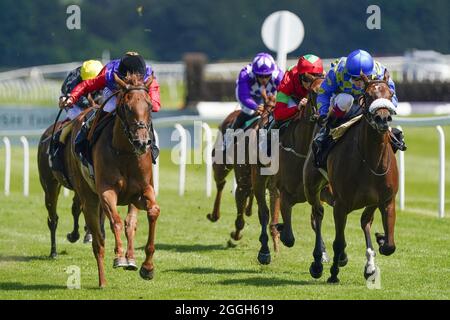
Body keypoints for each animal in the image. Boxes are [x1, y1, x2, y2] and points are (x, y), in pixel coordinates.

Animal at [66, 73, 159, 288]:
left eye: (149, 105)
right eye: (126, 106)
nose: (142, 142)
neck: (125, 153)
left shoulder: (142, 192)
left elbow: (151, 212)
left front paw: (147, 267)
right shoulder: (106, 191)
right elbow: (115, 221)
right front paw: (119, 257)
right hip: (88, 196)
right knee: (98, 242)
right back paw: (103, 281)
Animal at [304, 70, 400, 282]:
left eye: (390, 95)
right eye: (369, 95)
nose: (383, 119)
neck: (371, 160)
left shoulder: (387, 201)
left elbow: (390, 246)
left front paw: (381, 240)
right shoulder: (341, 204)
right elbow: (338, 242)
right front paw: (333, 273)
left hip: (371, 202)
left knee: (365, 222)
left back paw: (370, 265)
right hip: (312, 188)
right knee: (318, 214)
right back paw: (318, 262)